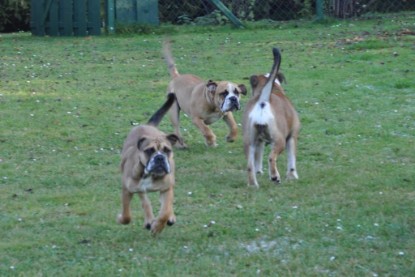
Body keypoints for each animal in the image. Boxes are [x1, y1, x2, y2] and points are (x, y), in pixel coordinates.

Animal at [118, 92, 180, 233]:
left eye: (167, 150)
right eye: (149, 150)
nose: (159, 158)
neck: (149, 175)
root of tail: (149, 125)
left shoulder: (166, 188)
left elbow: (165, 212)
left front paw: (158, 227)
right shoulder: (127, 190)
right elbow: (127, 215)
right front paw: (120, 218)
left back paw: (169, 218)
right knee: (144, 201)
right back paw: (149, 219)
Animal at [240, 48, 302, 188]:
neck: (274, 89)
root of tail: (263, 100)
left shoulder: (260, 142)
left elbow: (258, 159)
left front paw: (259, 171)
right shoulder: (292, 137)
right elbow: (292, 160)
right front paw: (292, 176)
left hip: (249, 142)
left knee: (250, 166)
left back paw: (253, 184)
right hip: (279, 140)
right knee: (271, 158)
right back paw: (275, 177)